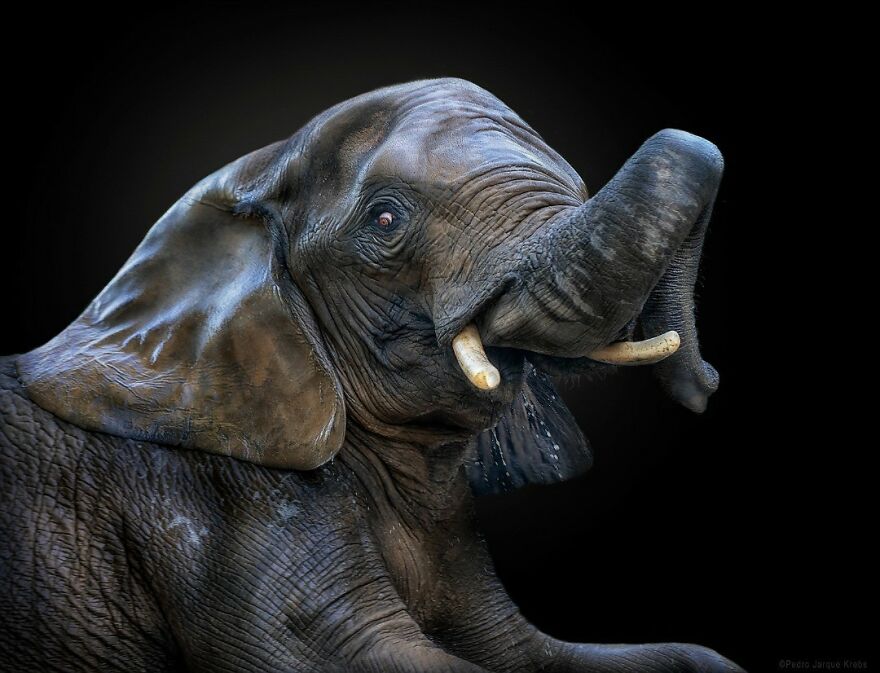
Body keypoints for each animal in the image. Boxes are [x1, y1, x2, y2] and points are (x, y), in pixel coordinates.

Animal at [0, 78, 741, 672]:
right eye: (385, 219)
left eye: (581, 189)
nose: (704, 383)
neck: (258, 170)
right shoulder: (213, 495)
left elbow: (533, 650)